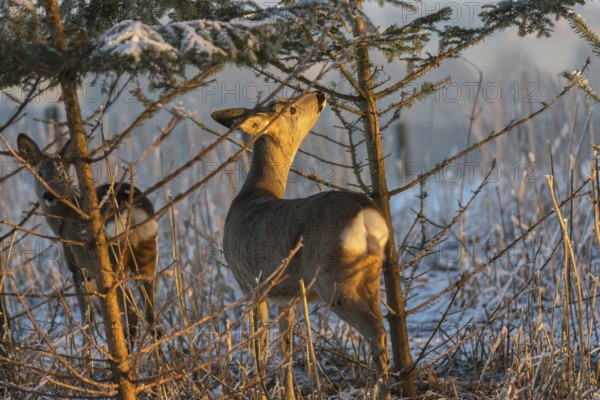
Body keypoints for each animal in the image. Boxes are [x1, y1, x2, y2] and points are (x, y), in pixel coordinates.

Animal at [17, 134, 159, 344]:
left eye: (62, 173)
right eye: (39, 172)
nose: (49, 195)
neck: (64, 218)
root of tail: (133, 210)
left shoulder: (78, 268)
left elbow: (88, 319)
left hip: (112, 261)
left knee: (132, 314)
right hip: (148, 256)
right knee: (151, 316)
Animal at [213, 91, 392, 400]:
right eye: (291, 109)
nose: (319, 94)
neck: (253, 193)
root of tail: (365, 211)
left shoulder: (251, 285)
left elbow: (259, 345)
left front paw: (261, 391)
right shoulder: (288, 296)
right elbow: (286, 350)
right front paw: (288, 393)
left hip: (332, 278)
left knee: (376, 331)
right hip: (370, 275)